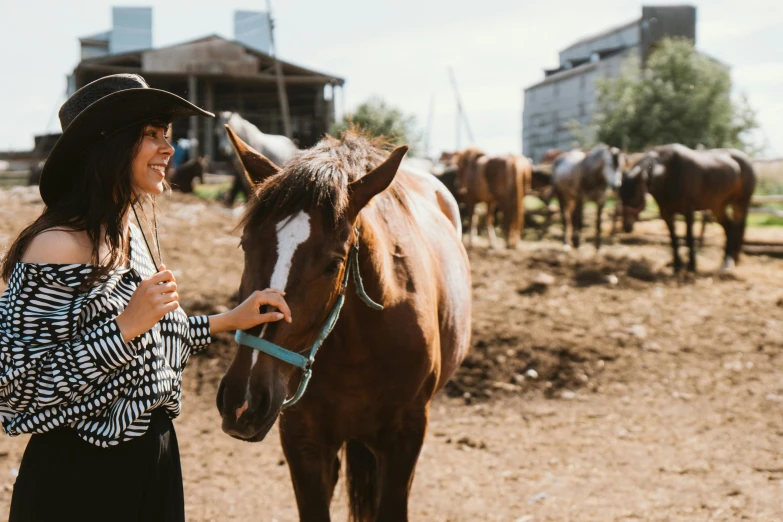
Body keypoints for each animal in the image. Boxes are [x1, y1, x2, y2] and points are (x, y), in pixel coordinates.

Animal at [620, 143, 756, 272]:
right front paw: (677, 265)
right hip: (717, 206)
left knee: (736, 228)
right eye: (622, 197)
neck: (668, 173)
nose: (626, 226)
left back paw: (729, 261)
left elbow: (689, 237)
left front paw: (691, 265)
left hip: (740, 203)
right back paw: (727, 259)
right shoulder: (666, 213)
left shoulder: (689, 212)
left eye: (635, 196)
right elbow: (673, 239)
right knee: (729, 228)